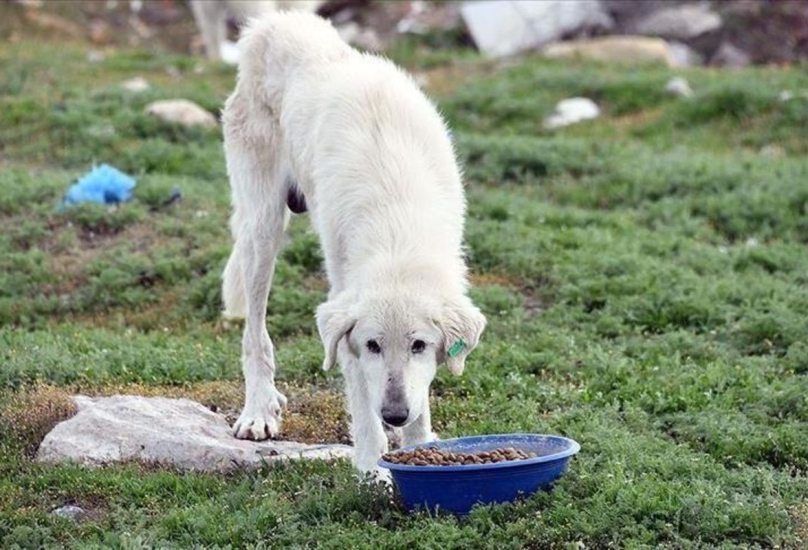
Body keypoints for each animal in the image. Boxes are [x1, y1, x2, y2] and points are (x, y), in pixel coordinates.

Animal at [221, 11, 486, 474]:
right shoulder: (344, 323)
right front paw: (370, 469)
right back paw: (258, 410)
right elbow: (363, 409)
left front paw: (419, 448)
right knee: (255, 334)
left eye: (419, 345)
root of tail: (274, 22)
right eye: (373, 345)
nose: (394, 414)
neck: (398, 232)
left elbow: (421, 399)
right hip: (263, 230)